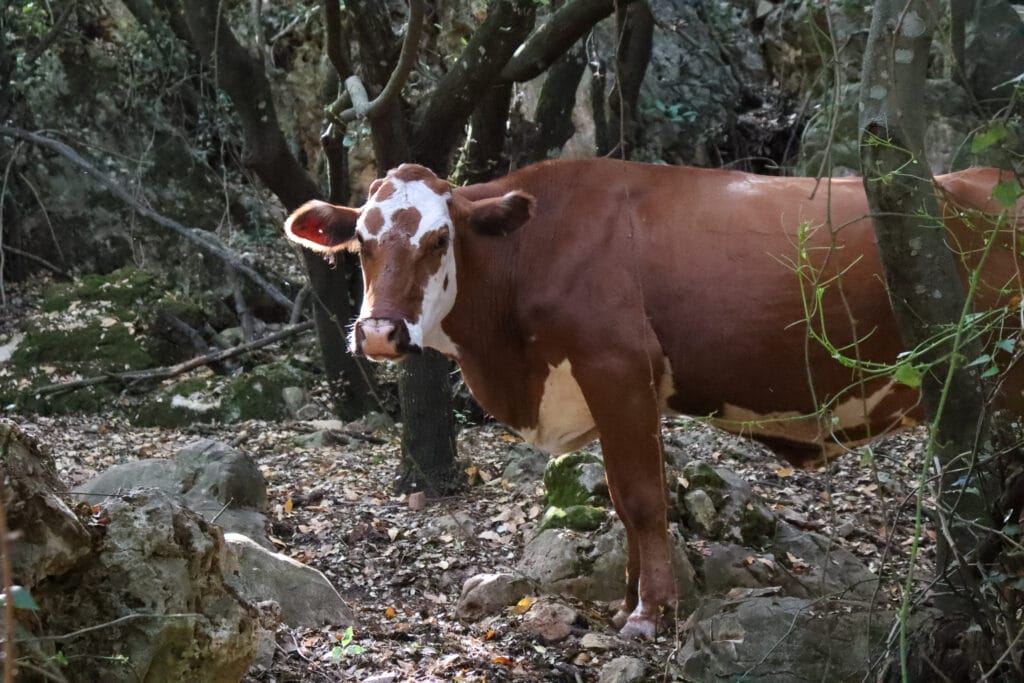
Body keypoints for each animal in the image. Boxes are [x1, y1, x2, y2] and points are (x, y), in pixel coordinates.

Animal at [282, 157, 1024, 638]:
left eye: (439, 238)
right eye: (362, 242)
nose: (379, 332)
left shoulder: (617, 369)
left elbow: (642, 499)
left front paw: (647, 615)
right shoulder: (616, 391)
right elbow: (620, 498)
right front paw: (630, 600)